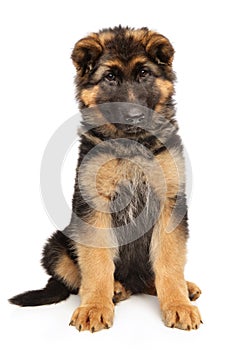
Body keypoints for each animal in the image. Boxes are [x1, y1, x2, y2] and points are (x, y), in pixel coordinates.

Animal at [9, 26, 202, 330]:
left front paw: (178, 304)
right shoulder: (94, 204)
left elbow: (169, 261)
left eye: (144, 73)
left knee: (151, 275)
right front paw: (95, 307)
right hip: (56, 244)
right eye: (110, 77)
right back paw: (115, 289)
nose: (134, 116)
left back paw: (182, 287)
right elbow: (96, 262)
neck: (132, 144)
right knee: (74, 277)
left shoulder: (170, 201)